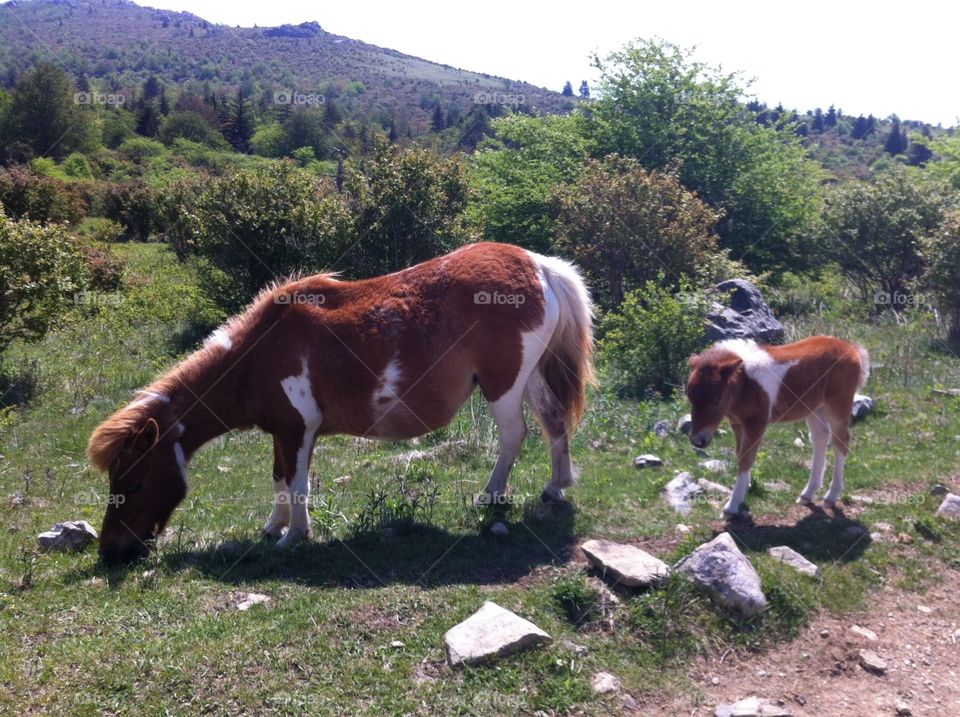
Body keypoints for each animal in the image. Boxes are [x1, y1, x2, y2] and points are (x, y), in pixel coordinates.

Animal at [87, 243, 594, 564]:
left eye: (133, 483)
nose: (111, 552)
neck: (259, 352)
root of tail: (539, 265)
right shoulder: (284, 431)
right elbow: (279, 479)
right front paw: (274, 527)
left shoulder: (298, 430)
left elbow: (297, 483)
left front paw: (294, 536)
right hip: (529, 379)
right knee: (554, 424)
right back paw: (554, 488)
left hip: (503, 386)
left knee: (515, 436)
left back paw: (491, 495)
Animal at [685, 335, 869, 518]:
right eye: (690, 398)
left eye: (716, 400)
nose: (698, 441)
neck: (745, 383)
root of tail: (854, 350)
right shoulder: (738, 423)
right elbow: (740, 454)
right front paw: (746, 489)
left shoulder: (756, 423)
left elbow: (746, 458)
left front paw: (732, 505)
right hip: (815, 408)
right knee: (820, 439)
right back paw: (807, 494)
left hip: (838, 407)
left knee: (841, 443)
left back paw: (831, 496)